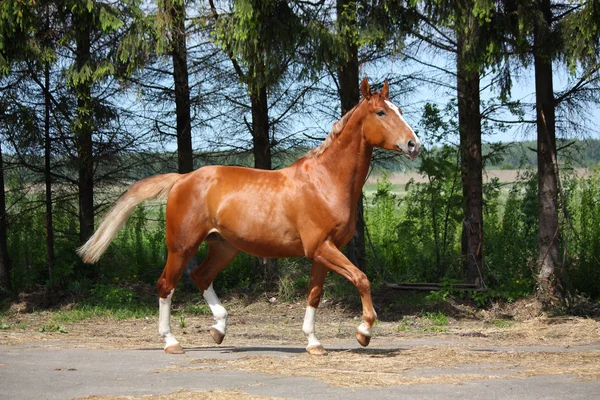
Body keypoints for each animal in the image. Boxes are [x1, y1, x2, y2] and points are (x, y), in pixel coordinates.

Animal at [77, 77, 420, 354]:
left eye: (399, 109)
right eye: (381, 113)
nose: (413, 144)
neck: (325, 181)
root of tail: (181, 179)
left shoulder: (323, 251)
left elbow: (314, 294)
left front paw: (314, 344)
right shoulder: (321, 248)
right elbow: (361, 279)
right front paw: (364, 332)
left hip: (224, 246)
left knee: (201, 276)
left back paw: (219, 329)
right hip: (182, 246)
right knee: (166, 285)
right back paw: (172, 342)